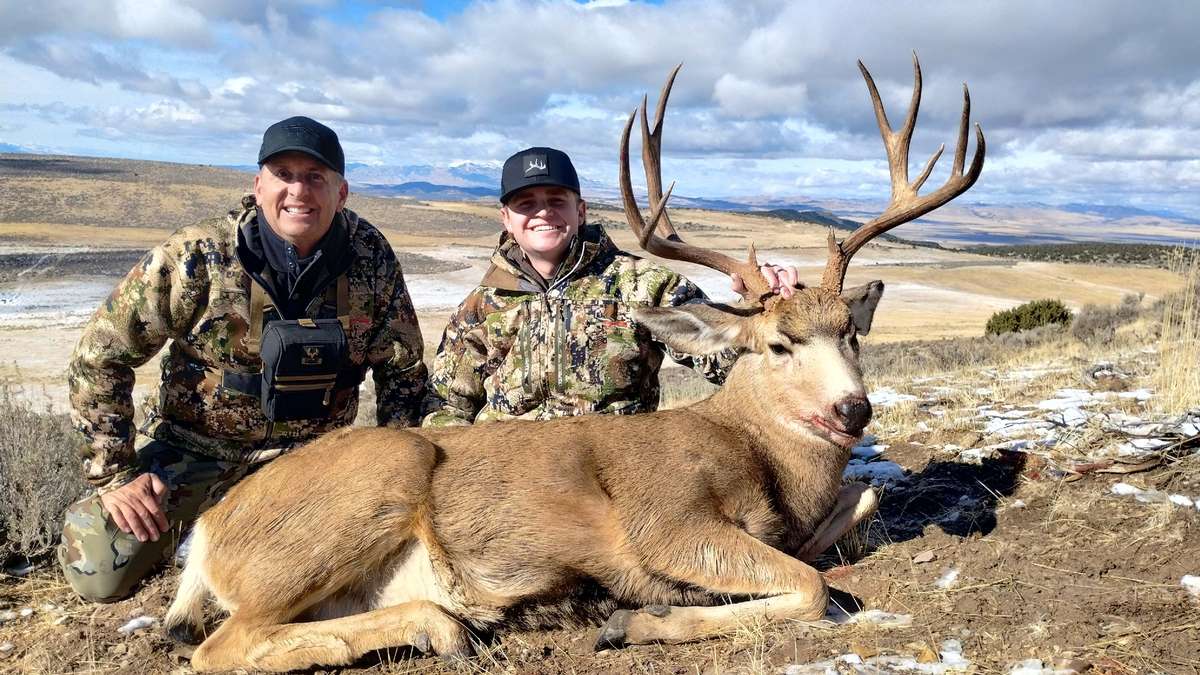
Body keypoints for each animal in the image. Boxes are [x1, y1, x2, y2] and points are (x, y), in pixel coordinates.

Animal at [164, 54, 984, 672]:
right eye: (778, 345)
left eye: (852, 332)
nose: (854, 409)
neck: (759, 456)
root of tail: (205, 534)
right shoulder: (668, 519)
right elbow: (813, 586)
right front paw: (637, 619)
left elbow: (855, 508)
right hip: (376, 478)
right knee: (220, 646)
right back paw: (449, 625)